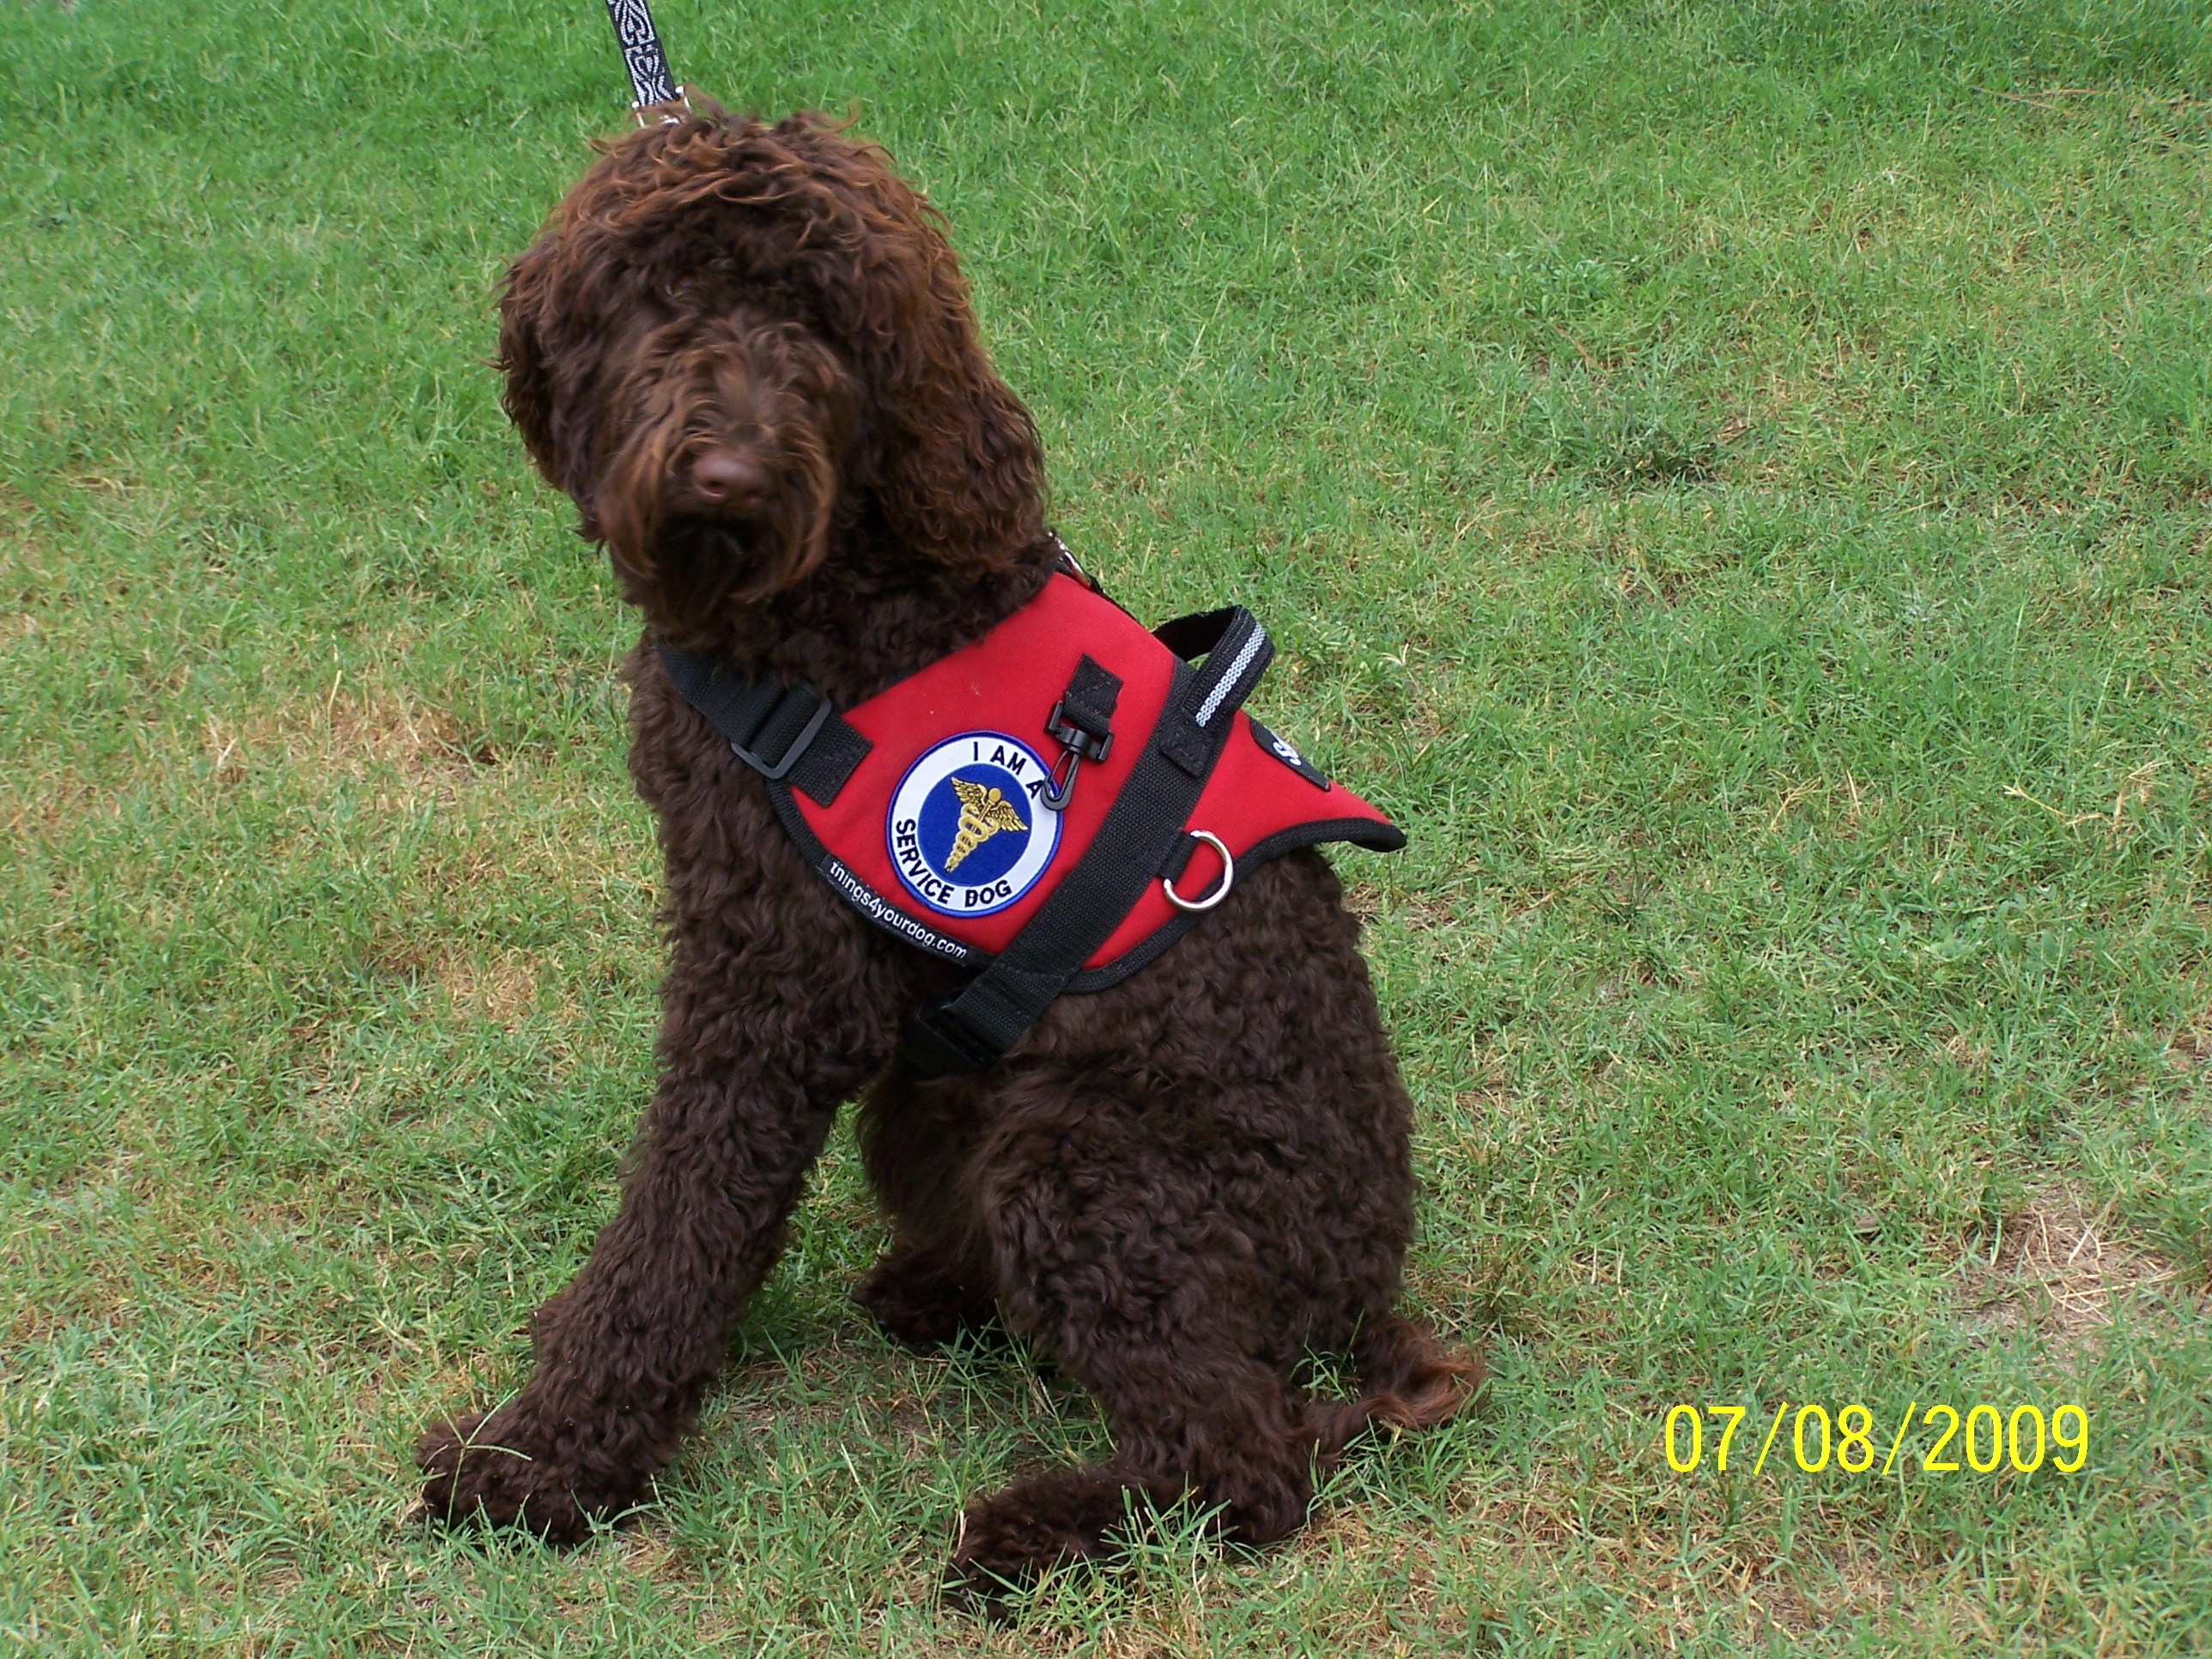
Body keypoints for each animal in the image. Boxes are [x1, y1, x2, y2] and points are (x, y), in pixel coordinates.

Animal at [417, 97, 1486, 1592]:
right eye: (657, 296)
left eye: (818, 319)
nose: (725, 473)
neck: (837, 591)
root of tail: (1362, 1295)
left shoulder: (772, 991)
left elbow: (676, 1228)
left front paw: (544, 1457)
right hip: (941, 1109)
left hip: (1083, 1167)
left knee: (1247, 1461)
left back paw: (1034, 1531)